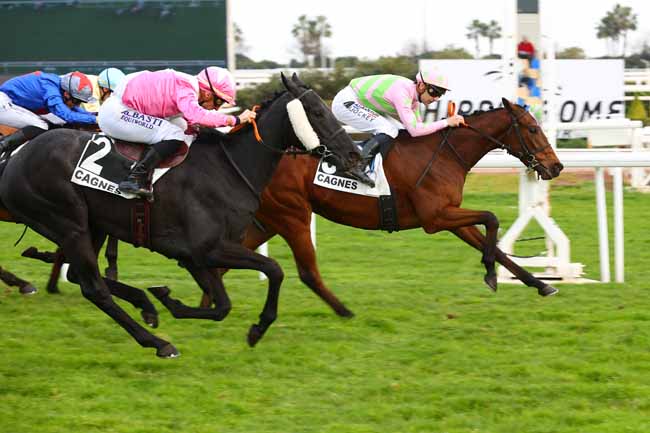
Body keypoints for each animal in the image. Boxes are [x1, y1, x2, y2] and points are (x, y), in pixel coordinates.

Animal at [0, 73, 360, 358]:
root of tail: (16, 158)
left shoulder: (195, 256)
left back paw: (145, 305)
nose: (354, 155)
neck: (229, 168)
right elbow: (273, 270)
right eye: (317, 111)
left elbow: (222, 305)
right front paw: (257, 327)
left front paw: (168, 300)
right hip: (68, 223)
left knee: (80, 276)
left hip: (93, 225)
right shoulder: (207, 248)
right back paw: (158, 342)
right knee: (93, 288)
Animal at [202, 97, 560, 314]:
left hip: (265, 222)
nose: (555, 167)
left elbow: (494, 243)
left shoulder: (449, 217)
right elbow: (492, 218)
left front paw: (540, 284)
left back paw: (207, 310)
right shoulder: (436, 217)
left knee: (218, 264)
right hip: (291, 215)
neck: (445, 153)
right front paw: (491, 275)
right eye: (532, 128)